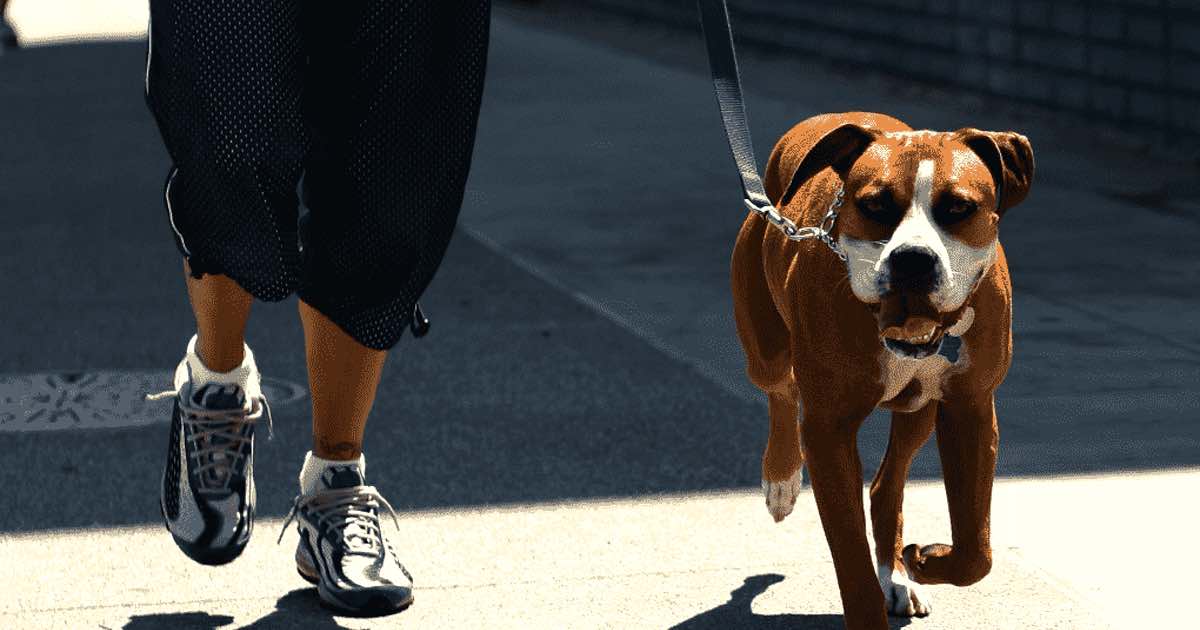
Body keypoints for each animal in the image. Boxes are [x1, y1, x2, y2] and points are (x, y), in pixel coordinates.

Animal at [724, 110, 1036, 624]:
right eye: (875, 205)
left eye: (958, 208)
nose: (913, 259)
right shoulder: (828, 430)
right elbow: (849, 556)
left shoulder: (971, 410)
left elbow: (976, 548)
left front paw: (927, 561)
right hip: (763, 348)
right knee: (780, 390)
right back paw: (781, 479)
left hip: (919, 412)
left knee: (886, 485)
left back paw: (898, 575)